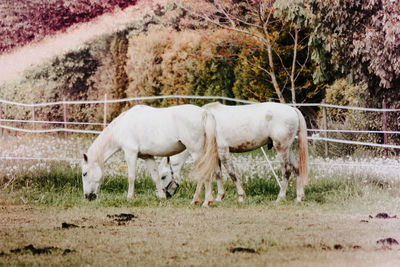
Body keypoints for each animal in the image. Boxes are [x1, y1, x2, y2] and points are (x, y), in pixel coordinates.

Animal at [81, 104, 219, 207]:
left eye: (84, 173)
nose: (87, 197)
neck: (122, 127)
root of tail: (204, 113)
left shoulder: (130, 153)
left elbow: (131, 177)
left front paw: (130, 198)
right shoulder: (148, 157)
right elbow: (155, 177)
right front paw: (162, 197)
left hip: (196, 152)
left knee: (204, 174)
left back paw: (204, 201)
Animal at [159, 102, 310, 203]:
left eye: (163, 176)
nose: (165, 196)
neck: (205, 122)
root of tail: (292, 109)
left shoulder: (223, 150)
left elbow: (231, 173)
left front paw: (241, 196)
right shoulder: (215, 154)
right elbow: (218, 174)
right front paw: (220, 197)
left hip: (281, 148)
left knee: (287, 170)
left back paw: (280, 197)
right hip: (287, 148)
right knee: (296, 168)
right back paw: (299, 197)